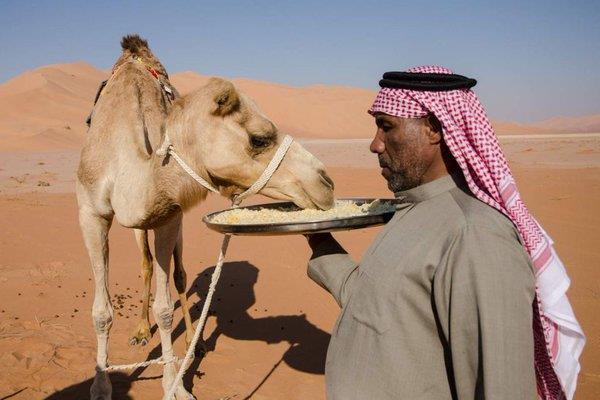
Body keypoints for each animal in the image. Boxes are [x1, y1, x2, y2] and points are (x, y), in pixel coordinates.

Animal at [76, 36, 332, 398]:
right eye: (259, 138)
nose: (326, 182)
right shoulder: (90, 212)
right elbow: (101, 312)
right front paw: (100, 385)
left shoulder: (167, 215)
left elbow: (165, 308)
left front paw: (175, 386)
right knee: (144, 264)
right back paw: (140, 331)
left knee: (181, 275)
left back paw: (193, 343)